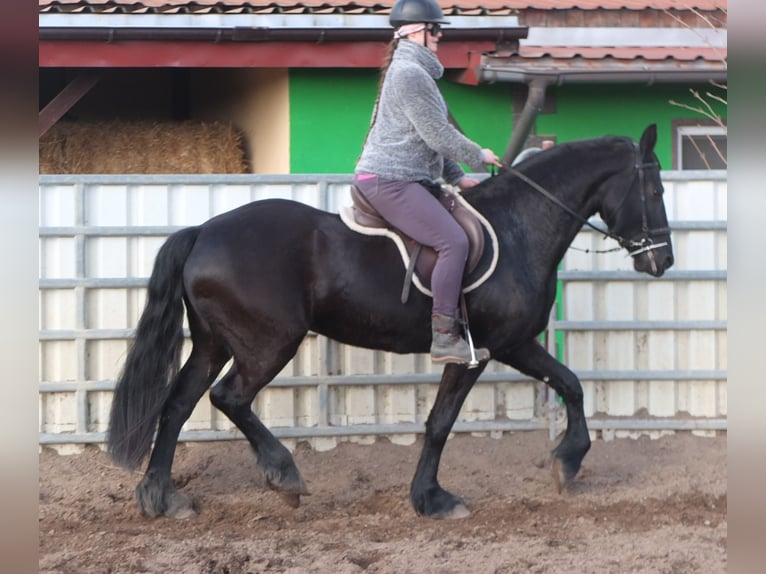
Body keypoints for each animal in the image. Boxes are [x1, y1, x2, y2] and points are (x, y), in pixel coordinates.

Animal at [109, 126, 680, 520]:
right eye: (654, 191)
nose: (663, 261)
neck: (520, 228)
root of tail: (203, 230)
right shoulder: (479, 351)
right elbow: (441, 423)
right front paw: (432, 499)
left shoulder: (514, 343)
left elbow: (571, 384)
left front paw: (568, 461)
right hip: (266, 344)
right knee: (229, 398)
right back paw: (284, 475)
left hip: (214, 343)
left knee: (177, 405)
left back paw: (163, 498)